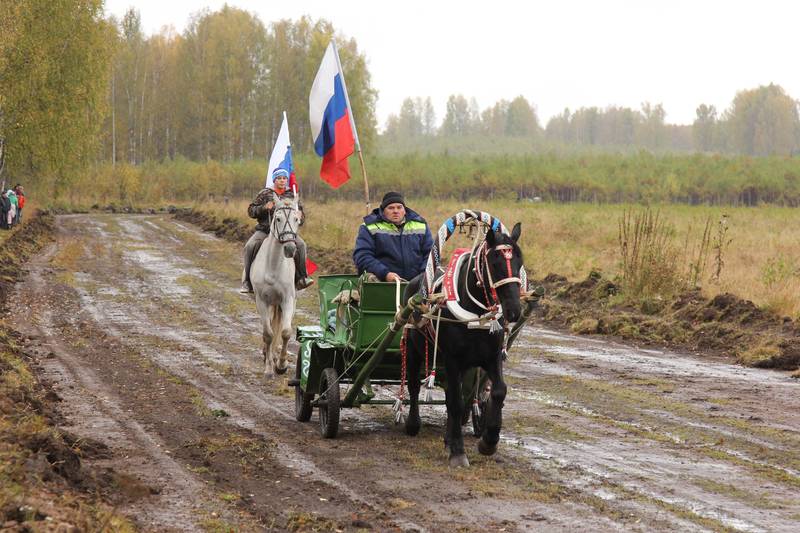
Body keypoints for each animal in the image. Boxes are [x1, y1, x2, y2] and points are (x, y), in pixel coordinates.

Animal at [248, 197, 302, 376]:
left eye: (297, 219)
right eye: (277, 219)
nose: (290, 248)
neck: (273, 266)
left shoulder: (287, 300)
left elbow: (285, 332)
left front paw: (281, 365)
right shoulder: (261, 301)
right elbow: (268, 334)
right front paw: (269, 368)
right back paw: (267, 354)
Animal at [404, 222, 520, 468]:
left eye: (519, 261)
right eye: (495, 263)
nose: (514, 310)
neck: (474, 314)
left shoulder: (491, 357)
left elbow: (498, 391)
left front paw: (488, 441)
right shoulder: (452, 360)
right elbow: (456, 403)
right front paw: (458, 451)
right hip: (413, 348)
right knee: (414, 385)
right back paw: (413, 423)